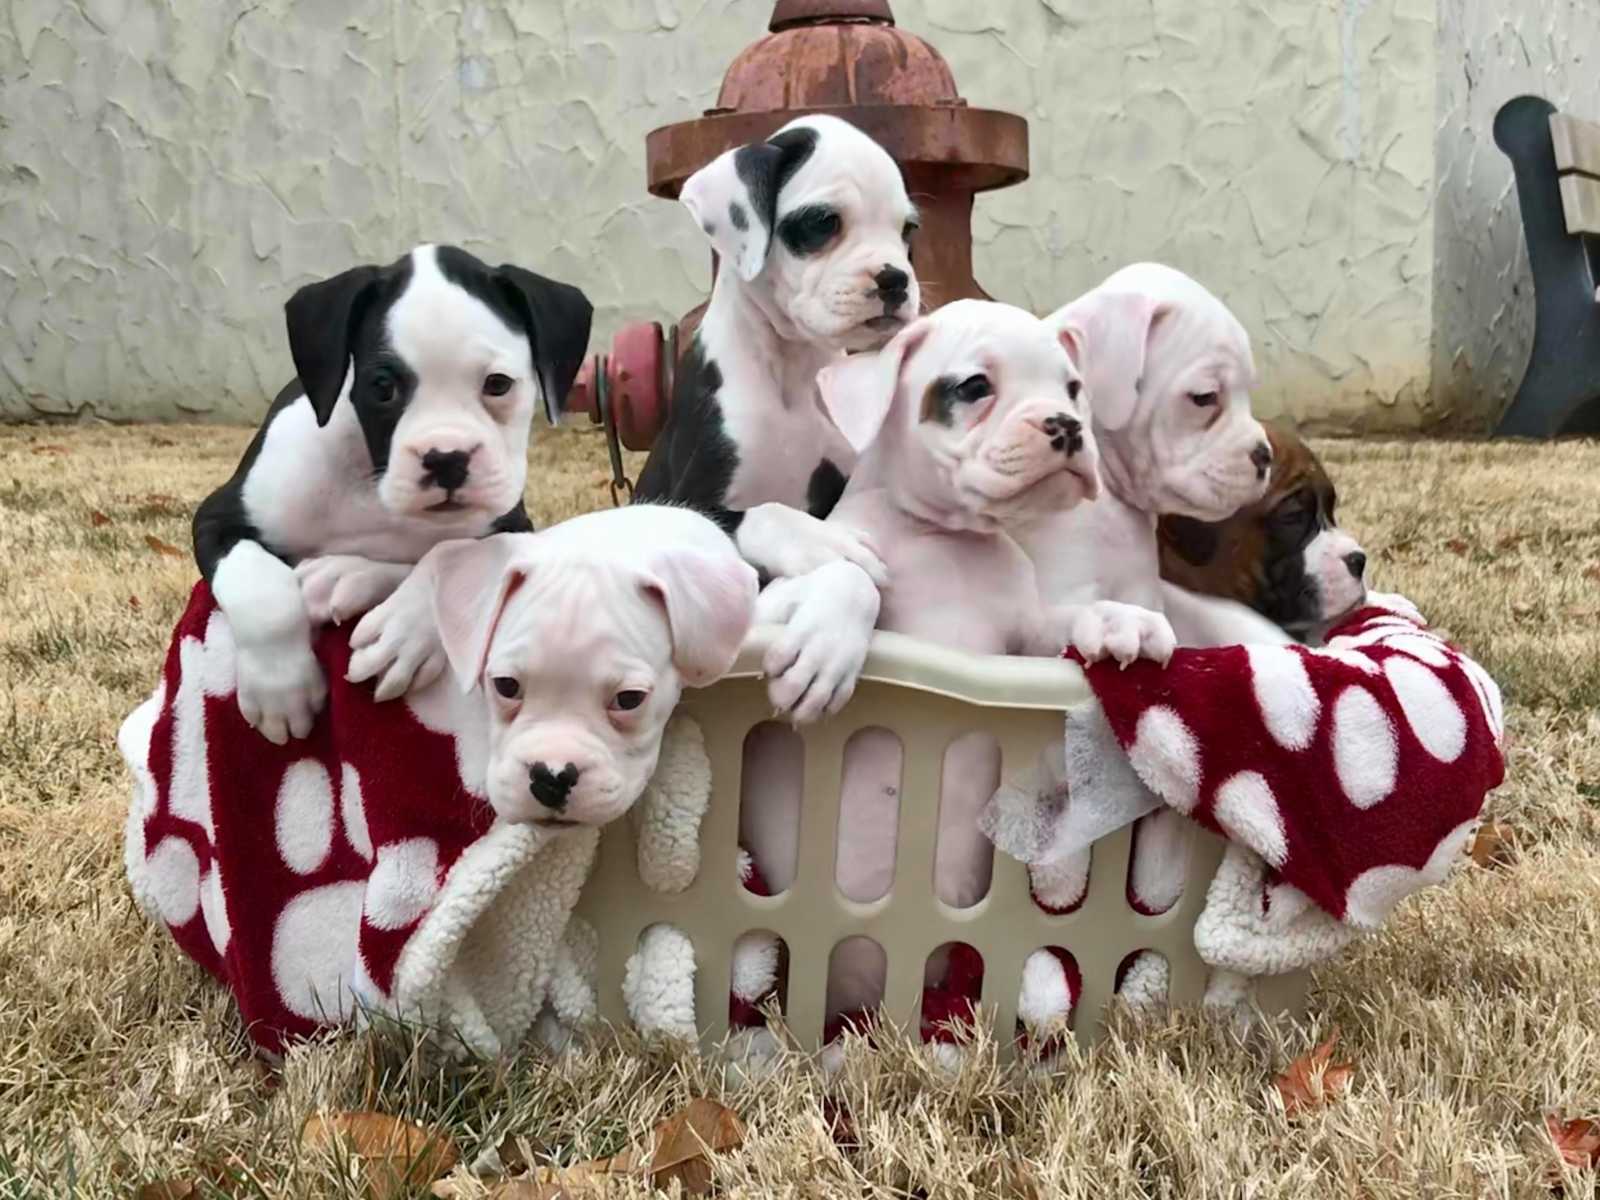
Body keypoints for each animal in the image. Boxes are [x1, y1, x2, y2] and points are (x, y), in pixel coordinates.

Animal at [192, 244, 592, 745]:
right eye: (382, 386)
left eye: (498, 384)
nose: (447, 458)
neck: (372, 485)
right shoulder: (217, 515)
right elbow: (259, 585)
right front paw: (280, 686)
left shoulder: (514, 524)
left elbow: (454, 554)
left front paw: (405, 630)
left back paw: (344, 577)